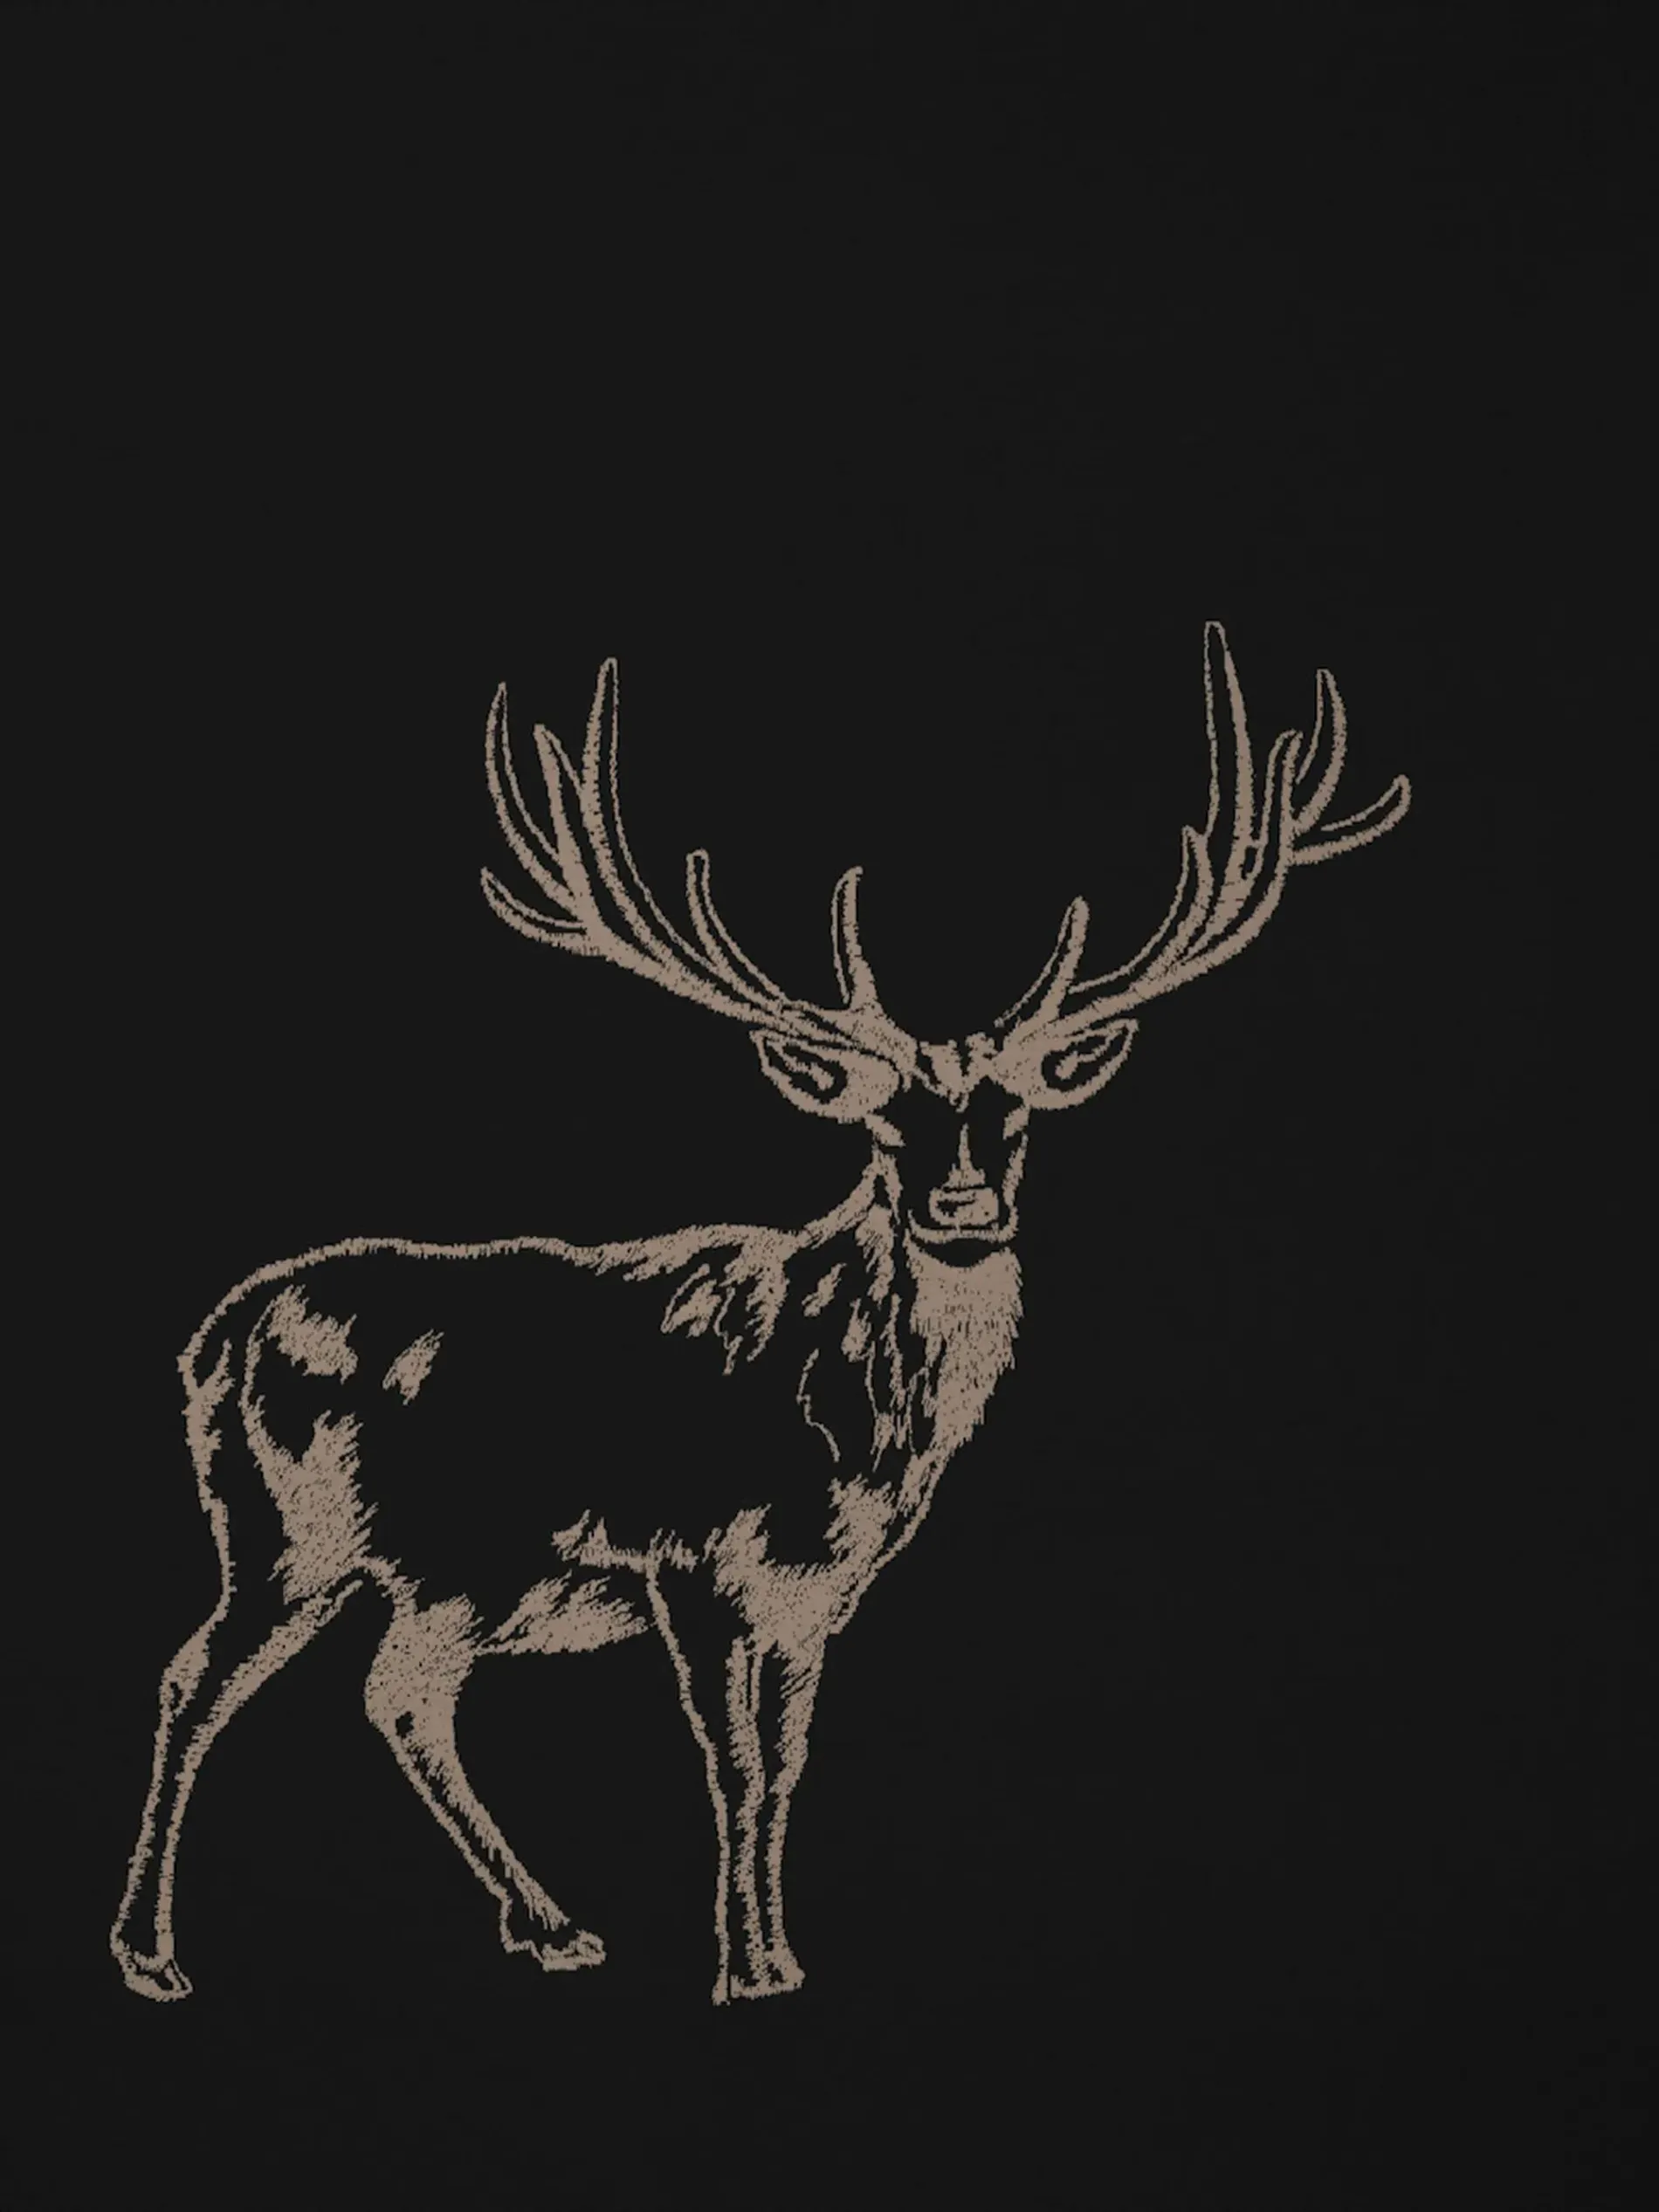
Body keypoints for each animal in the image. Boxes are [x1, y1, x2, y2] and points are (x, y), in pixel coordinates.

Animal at [111, 623, 1410, 2006]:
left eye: (1011, 1120)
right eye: (885, 1127)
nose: (961, 1205)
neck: (843, 1430)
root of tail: (211, 1341)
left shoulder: (812, 1595)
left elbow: (783, 1769)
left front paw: (777, 1948)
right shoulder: (687, 1558)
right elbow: (729, 1763)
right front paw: (743, 1967)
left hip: (441, 1578)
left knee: (397, 1694)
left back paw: (551, 1924)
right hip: (284, 1530)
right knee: (196, 1677)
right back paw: (149, 1951)